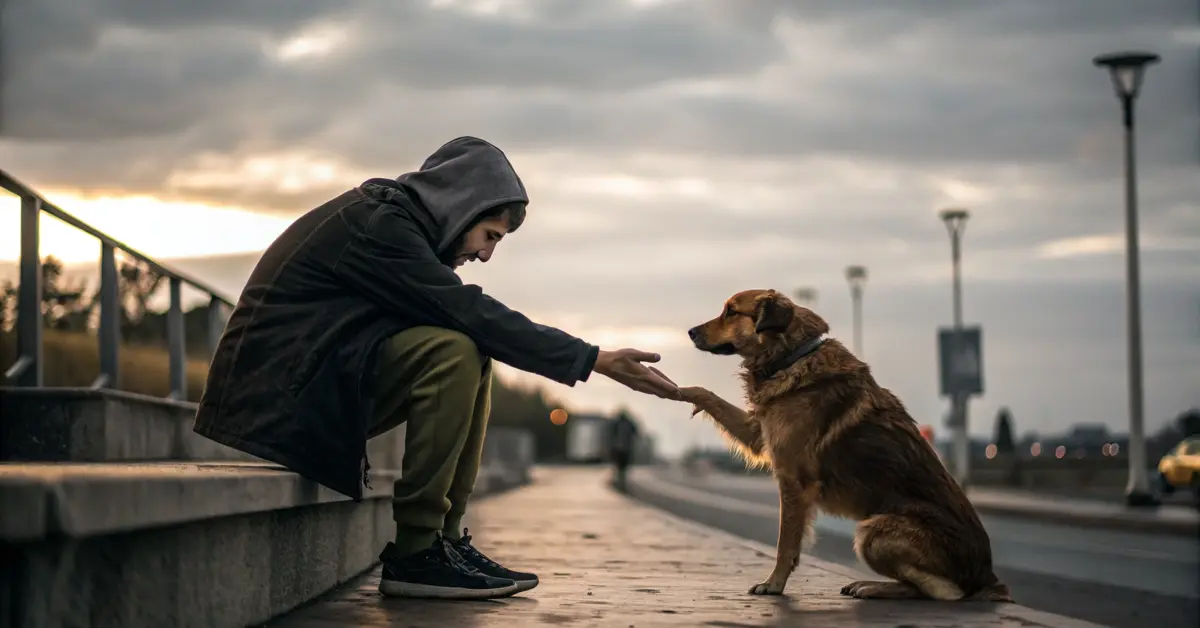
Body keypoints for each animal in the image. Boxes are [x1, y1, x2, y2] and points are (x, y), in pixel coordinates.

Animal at [681, 292, 1008, 602]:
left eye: (731, 311)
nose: (690, 332)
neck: (792, 356)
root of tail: (987, 576)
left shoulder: (793, 482)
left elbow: (785, 543)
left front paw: (773, 584)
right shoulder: (759, 435)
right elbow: (706, 394)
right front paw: (681, 390)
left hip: (872, 531)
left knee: (944, 591)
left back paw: (874, 587)